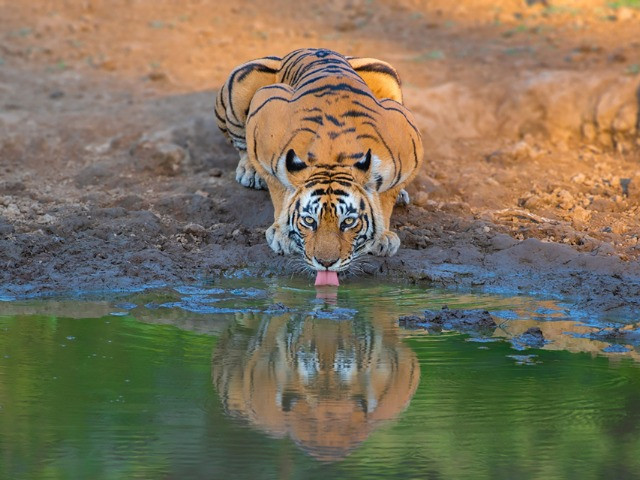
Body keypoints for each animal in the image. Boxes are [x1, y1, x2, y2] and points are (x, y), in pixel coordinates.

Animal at [215, 48, 424, 274]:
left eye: (348, 222)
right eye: (309, 220)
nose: (326, 263)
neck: (333, 155)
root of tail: (309, 49)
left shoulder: (409, 139)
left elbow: (387, 197)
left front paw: (382, 236)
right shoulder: (263, 116)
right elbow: (278, 188)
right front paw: (282, 235)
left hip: (385, 71)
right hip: (241, 81)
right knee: (240, 144)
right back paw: (250, 172)